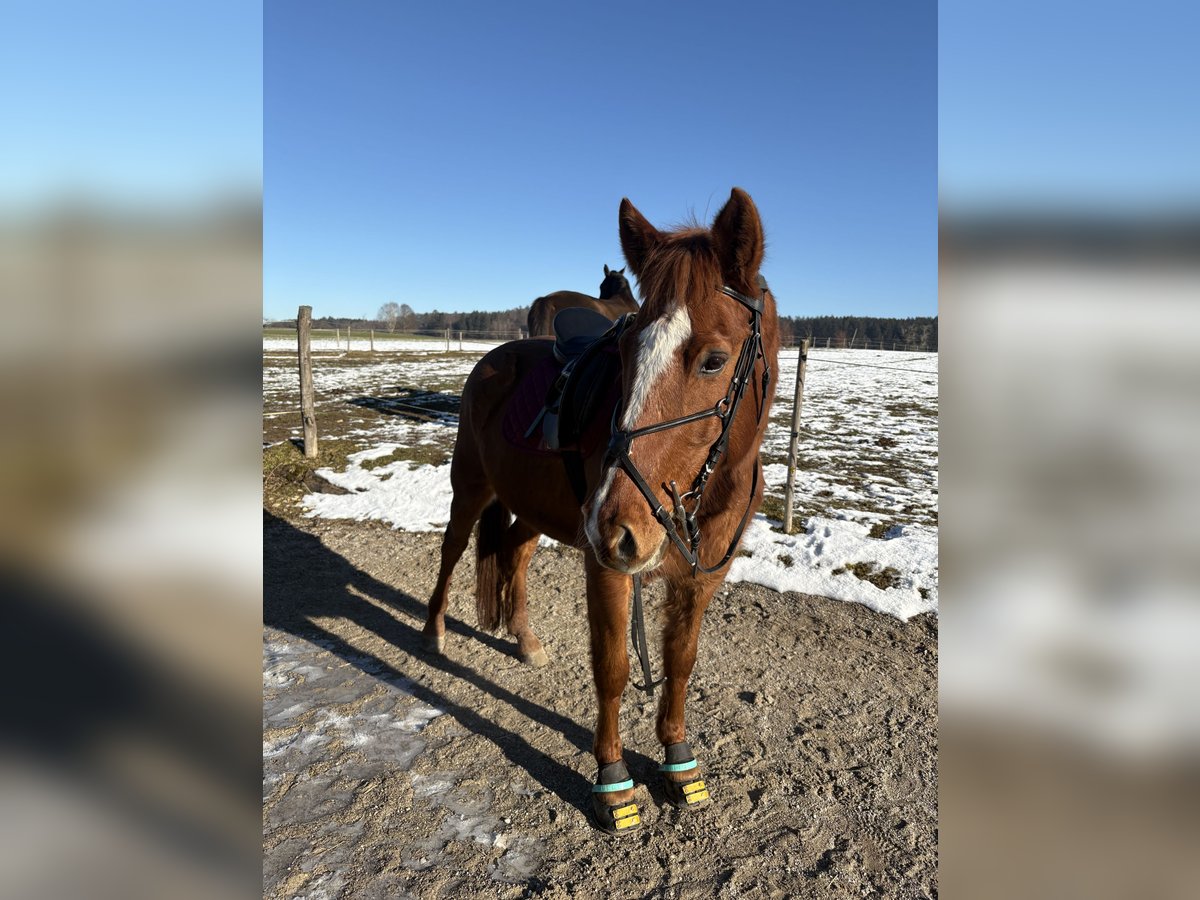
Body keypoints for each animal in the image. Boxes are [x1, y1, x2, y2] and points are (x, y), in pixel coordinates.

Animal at [422, 190, 777, 840]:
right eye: (625, 351)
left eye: (714, 360)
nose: (614, 524)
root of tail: (495, 358)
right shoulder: (609, 567)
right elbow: (612, 668)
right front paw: (613, 781)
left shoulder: (701, 579)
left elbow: (680, 664)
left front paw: (678, 761)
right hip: (473, 489)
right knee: (453, 550)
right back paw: (434, 630)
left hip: (538, 511)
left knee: (514, 553)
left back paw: (526, 639)